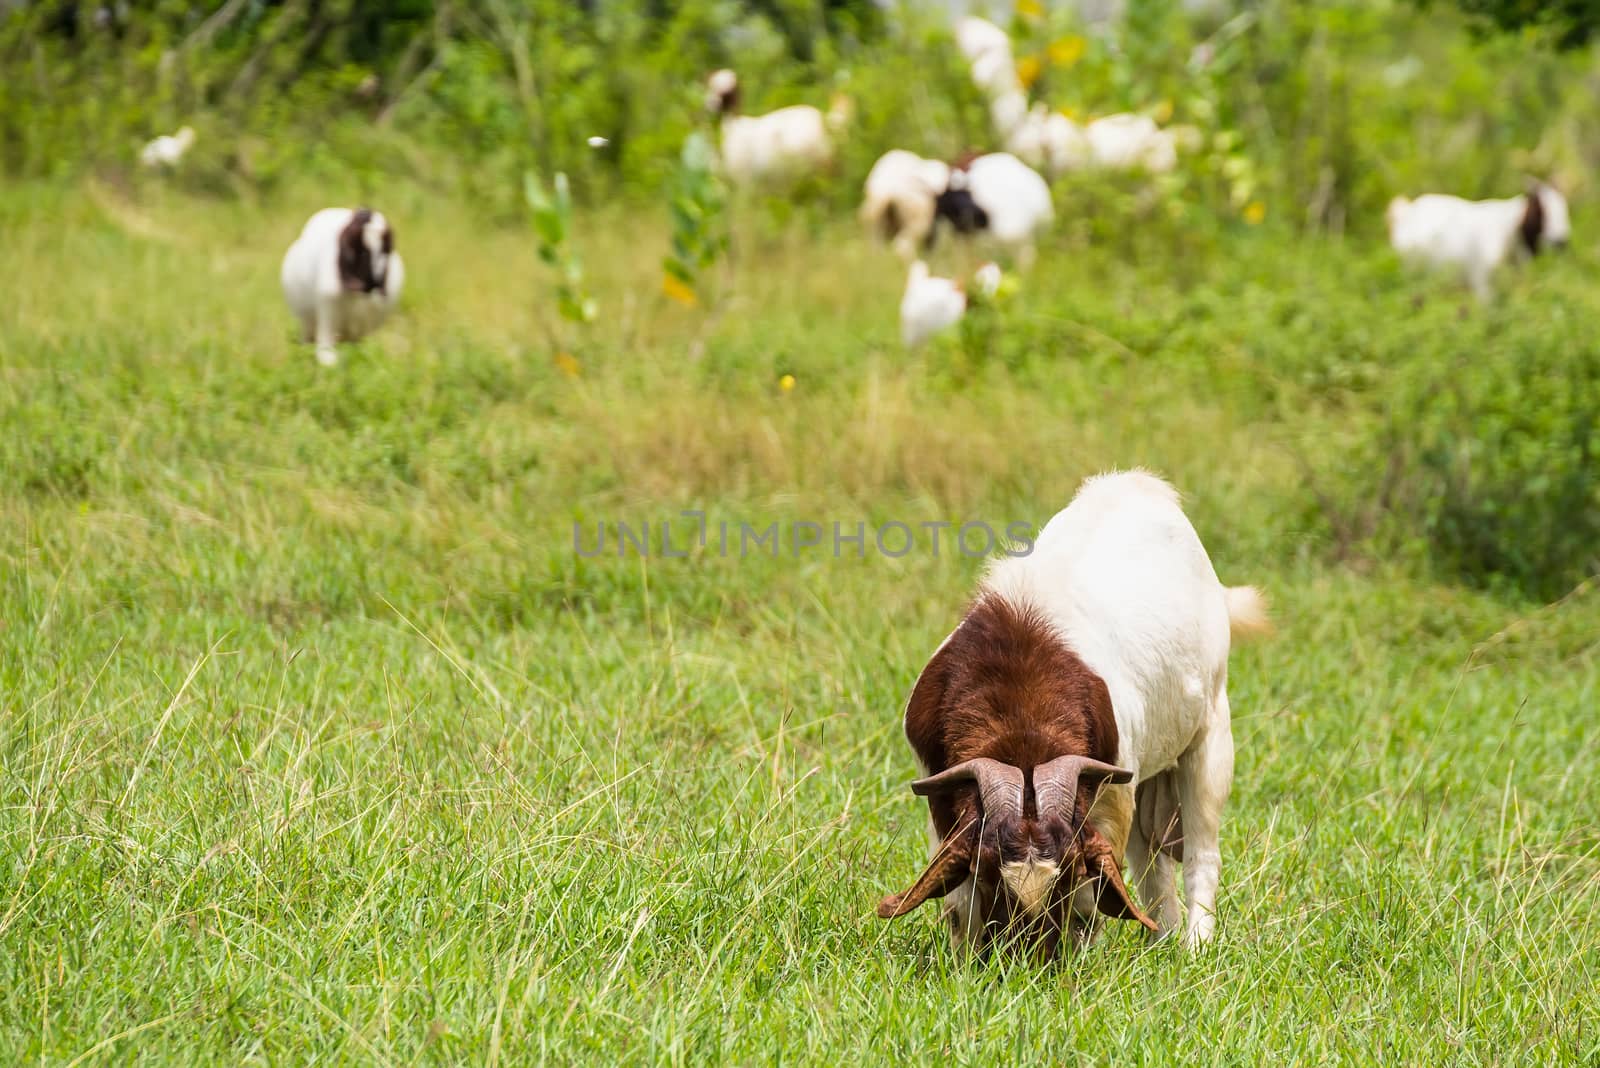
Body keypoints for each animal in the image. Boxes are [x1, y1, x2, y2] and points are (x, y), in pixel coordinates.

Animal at [278, 207, 400, 367]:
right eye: (356, 251)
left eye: (386, 250)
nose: (372, 283)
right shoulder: (328, 309)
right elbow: (326, 352)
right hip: (309, 321)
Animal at [883, 470, 1267, 952]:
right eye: (989, 873)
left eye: (1067, 872)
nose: (1027, 954)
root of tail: (1139, 484)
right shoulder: (939, 789)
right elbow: (958, 903)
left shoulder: (1113, 789)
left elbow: (1095, 896)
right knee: (1153, 862)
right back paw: (1163, 941)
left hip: (1212, 733)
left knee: (1200, 850)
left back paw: (1195, 946)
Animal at [1388, 178, 1574, 295]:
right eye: (1542, 210)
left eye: (1564, 207)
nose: (1561, 241)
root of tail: (1407, 211)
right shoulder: (1482, 283)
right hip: (1413, 271)